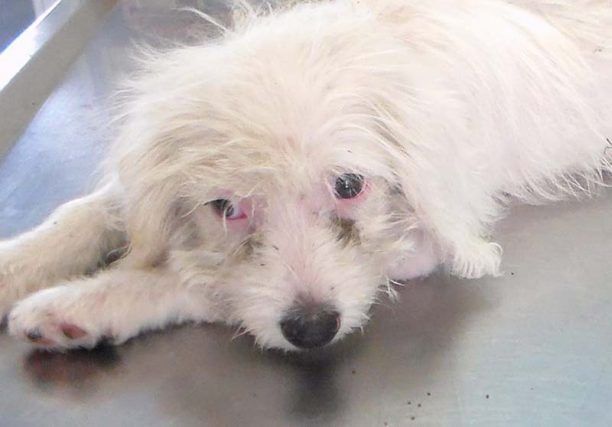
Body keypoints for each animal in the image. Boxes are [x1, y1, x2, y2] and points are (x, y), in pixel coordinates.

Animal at [0, 0, 610, 351]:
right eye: (226, 207)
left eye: (348, 186)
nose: (313, 330)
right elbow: (87, 212)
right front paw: (18, 264)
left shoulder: (412, 244)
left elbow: (200, 282)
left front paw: (80, 305)